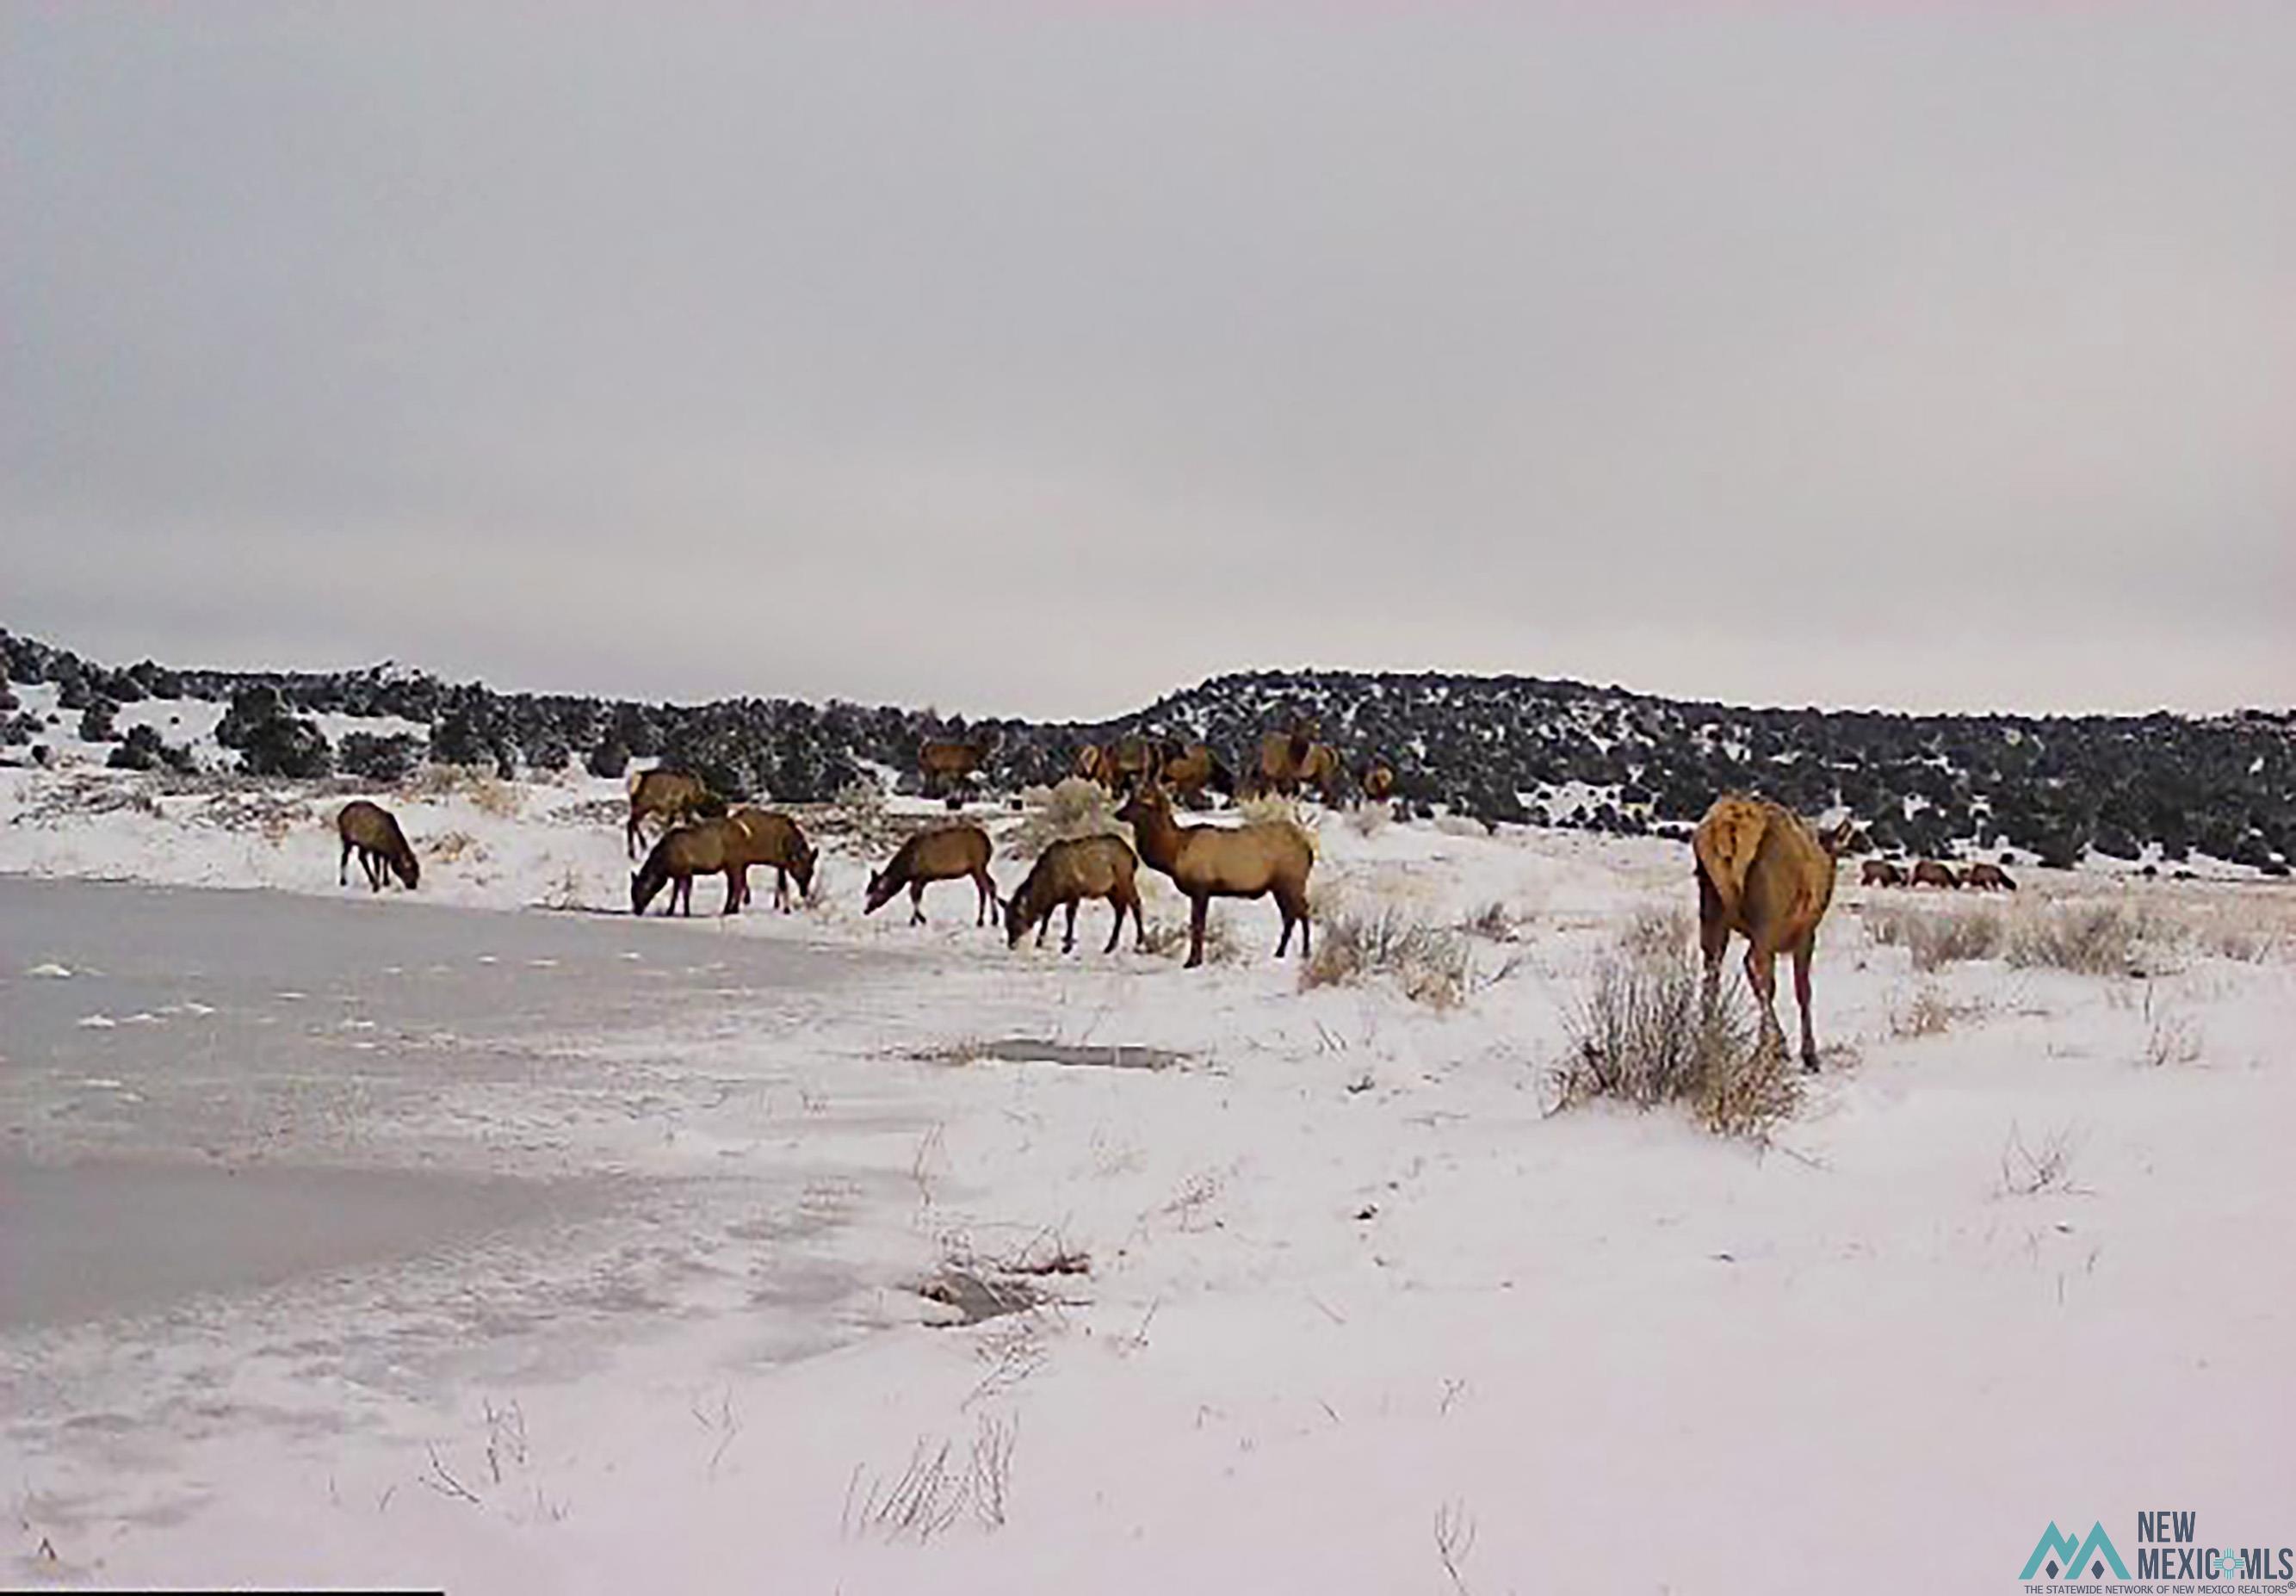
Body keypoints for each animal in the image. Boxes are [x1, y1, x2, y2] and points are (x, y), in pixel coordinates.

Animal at [863, 822, 1000, 923]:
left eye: (876, 892)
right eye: (867, 892)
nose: (866, 910)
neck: (907, 870)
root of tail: (988, 843)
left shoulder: (921, 875)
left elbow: (914, 895)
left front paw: (918, 920)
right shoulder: (922, 878)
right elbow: (916, 896)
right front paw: (918, 919)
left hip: (978, 865)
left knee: (986, 887)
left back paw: (986, 920)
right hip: (977, 868)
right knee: (989, 885)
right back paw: (990, 919)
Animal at [1006, 831, 1148, 955]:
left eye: (1015, 922)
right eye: (1006, 923)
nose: (1010, 944)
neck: (1048, 886)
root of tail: (1132, 856)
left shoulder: (1074, 892)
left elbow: (1069, 916)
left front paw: (1067, 946)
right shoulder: (1053, 900)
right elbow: (1046, 918)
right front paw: (1039, 942)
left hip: (1124, 879)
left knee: (1135, 903)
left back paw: (1138, 941)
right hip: (1110, 889)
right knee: (1121, 909)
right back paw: (1110, 946)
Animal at [1111, 785, 1313, 968]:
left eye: (1142, 803)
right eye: (1130, 799)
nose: (1118, 813)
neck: (1174, 853)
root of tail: (1307, 848)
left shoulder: (1201, 888)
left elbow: (1198, 925)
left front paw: (1192, 962)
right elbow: (1197, 924)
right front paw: (1195, 959)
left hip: (1291, 882)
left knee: (1302, 911)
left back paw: (1305, 952)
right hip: (1279, 886)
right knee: (1291, 915)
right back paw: (1280, 952)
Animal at [1699, 794, 1854, 1074]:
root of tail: (1730, 825)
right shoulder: (1806, 932)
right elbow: (1803, 990)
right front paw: (1808, 1054)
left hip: (1711, 904)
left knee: (1712, 973)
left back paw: (1710, 1043)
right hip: (1768, 912)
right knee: (1760, 972)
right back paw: (1766, 1050)